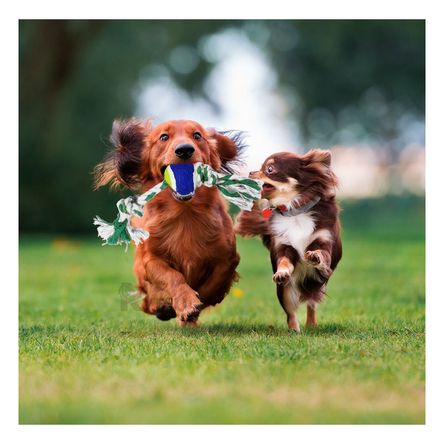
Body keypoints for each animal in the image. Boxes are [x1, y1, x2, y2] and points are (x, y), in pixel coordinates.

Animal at [95, 118, 245, 326]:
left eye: (197, 135)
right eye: (164, 137)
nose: (184, 150)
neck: (185, 213)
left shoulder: (228, 256)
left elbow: (216, 280)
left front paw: (199, 301)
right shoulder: (151, 259)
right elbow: (173, 276)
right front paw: (185, 302)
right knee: (147, 301)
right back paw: (162, 307)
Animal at [238, 151, 342, 332]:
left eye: (269, 169)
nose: (251, 172)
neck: (295, 211)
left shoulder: (324, 240)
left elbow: (322, 254)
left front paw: (315, 256)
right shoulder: (284, 246)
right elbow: (284, 261)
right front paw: (282, 272)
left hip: (317, 284)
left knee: (311, 304)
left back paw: (311, 325)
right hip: (285, 290)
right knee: (290, 312)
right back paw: (294, 330)